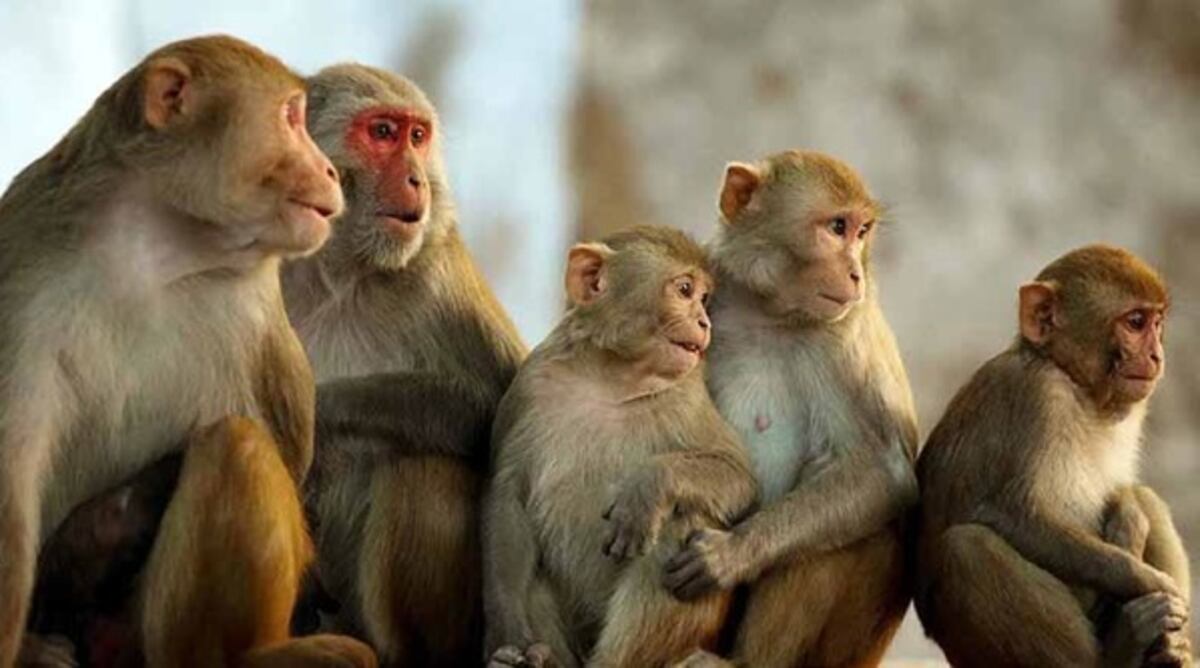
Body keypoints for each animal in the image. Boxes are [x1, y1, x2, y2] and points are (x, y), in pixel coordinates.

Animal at [0, 35, 374, 668]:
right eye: (291, 117)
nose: (329, 170)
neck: (158, 250)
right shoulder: (24, 273)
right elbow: (12, 475)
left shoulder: (255, 307)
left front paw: (90, 541)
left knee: (235, 444)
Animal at [483, 225, 759, 668]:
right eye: (685, 290)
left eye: (704, 299)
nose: (703, 321)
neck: (611, 380)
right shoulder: (530, 385)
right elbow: (508, 498)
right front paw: (508, 638)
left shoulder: (687, 397)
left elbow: (738, 477)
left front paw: (647, 489)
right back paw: (538, 659)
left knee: (682, 519)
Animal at [662, 150, 919, 667]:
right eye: (837, 227)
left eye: (862, 231)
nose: (855, 273)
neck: (771, 314)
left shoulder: (846, 338)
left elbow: (884, 470)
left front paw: (730, 555)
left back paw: (744, 663)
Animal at [913, 244, 1192, 667]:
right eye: (1135, 322)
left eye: (1156, 322)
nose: (1157, 355)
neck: (1076, 385)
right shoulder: (1038, 395)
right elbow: (1014, 514)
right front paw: (1144, 578)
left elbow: (1128, 494)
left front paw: (1129, 519)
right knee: (967, 548)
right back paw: (1121, 648)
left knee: (1150, 499)